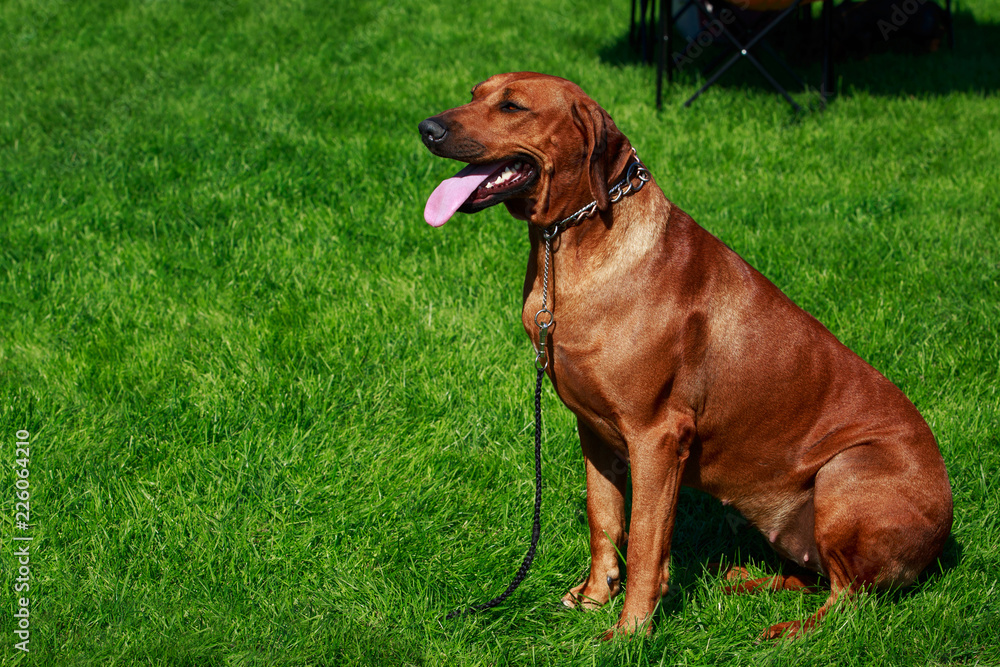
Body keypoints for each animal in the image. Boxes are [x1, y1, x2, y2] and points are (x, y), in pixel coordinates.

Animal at [420, 73, 952, 640]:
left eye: (512, 107)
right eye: (475, 94)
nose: (426, 128)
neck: (572, 244)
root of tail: (944, 535)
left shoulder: (657, 436)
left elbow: (645, 540)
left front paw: (629, 632)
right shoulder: (593, 427)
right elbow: (605, 518)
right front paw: (594, 597)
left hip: (845, 471)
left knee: (848, 600)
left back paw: (783, 632)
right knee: (821, 579)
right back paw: (747, 582)